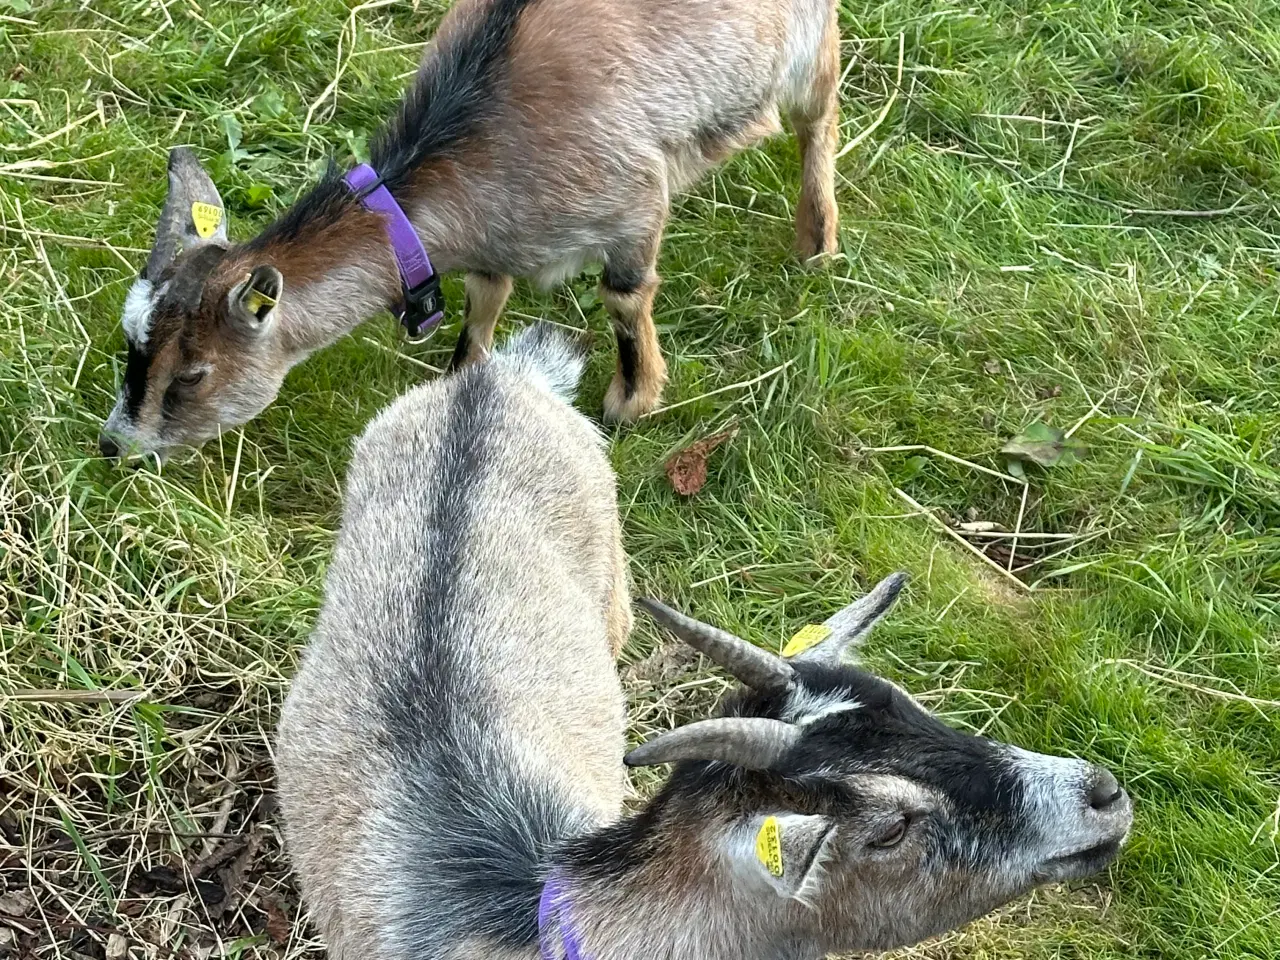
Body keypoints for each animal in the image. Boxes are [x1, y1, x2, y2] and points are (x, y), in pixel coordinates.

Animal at [97, 0, 839, 460]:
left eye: (192, 373)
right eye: (132, 343)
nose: (114, 445)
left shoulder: (634, 202)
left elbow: (624, 299)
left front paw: (632, 402)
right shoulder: (495, 247)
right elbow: (484, 304)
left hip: (808, 41)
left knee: (817, 116)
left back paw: (817, 241)